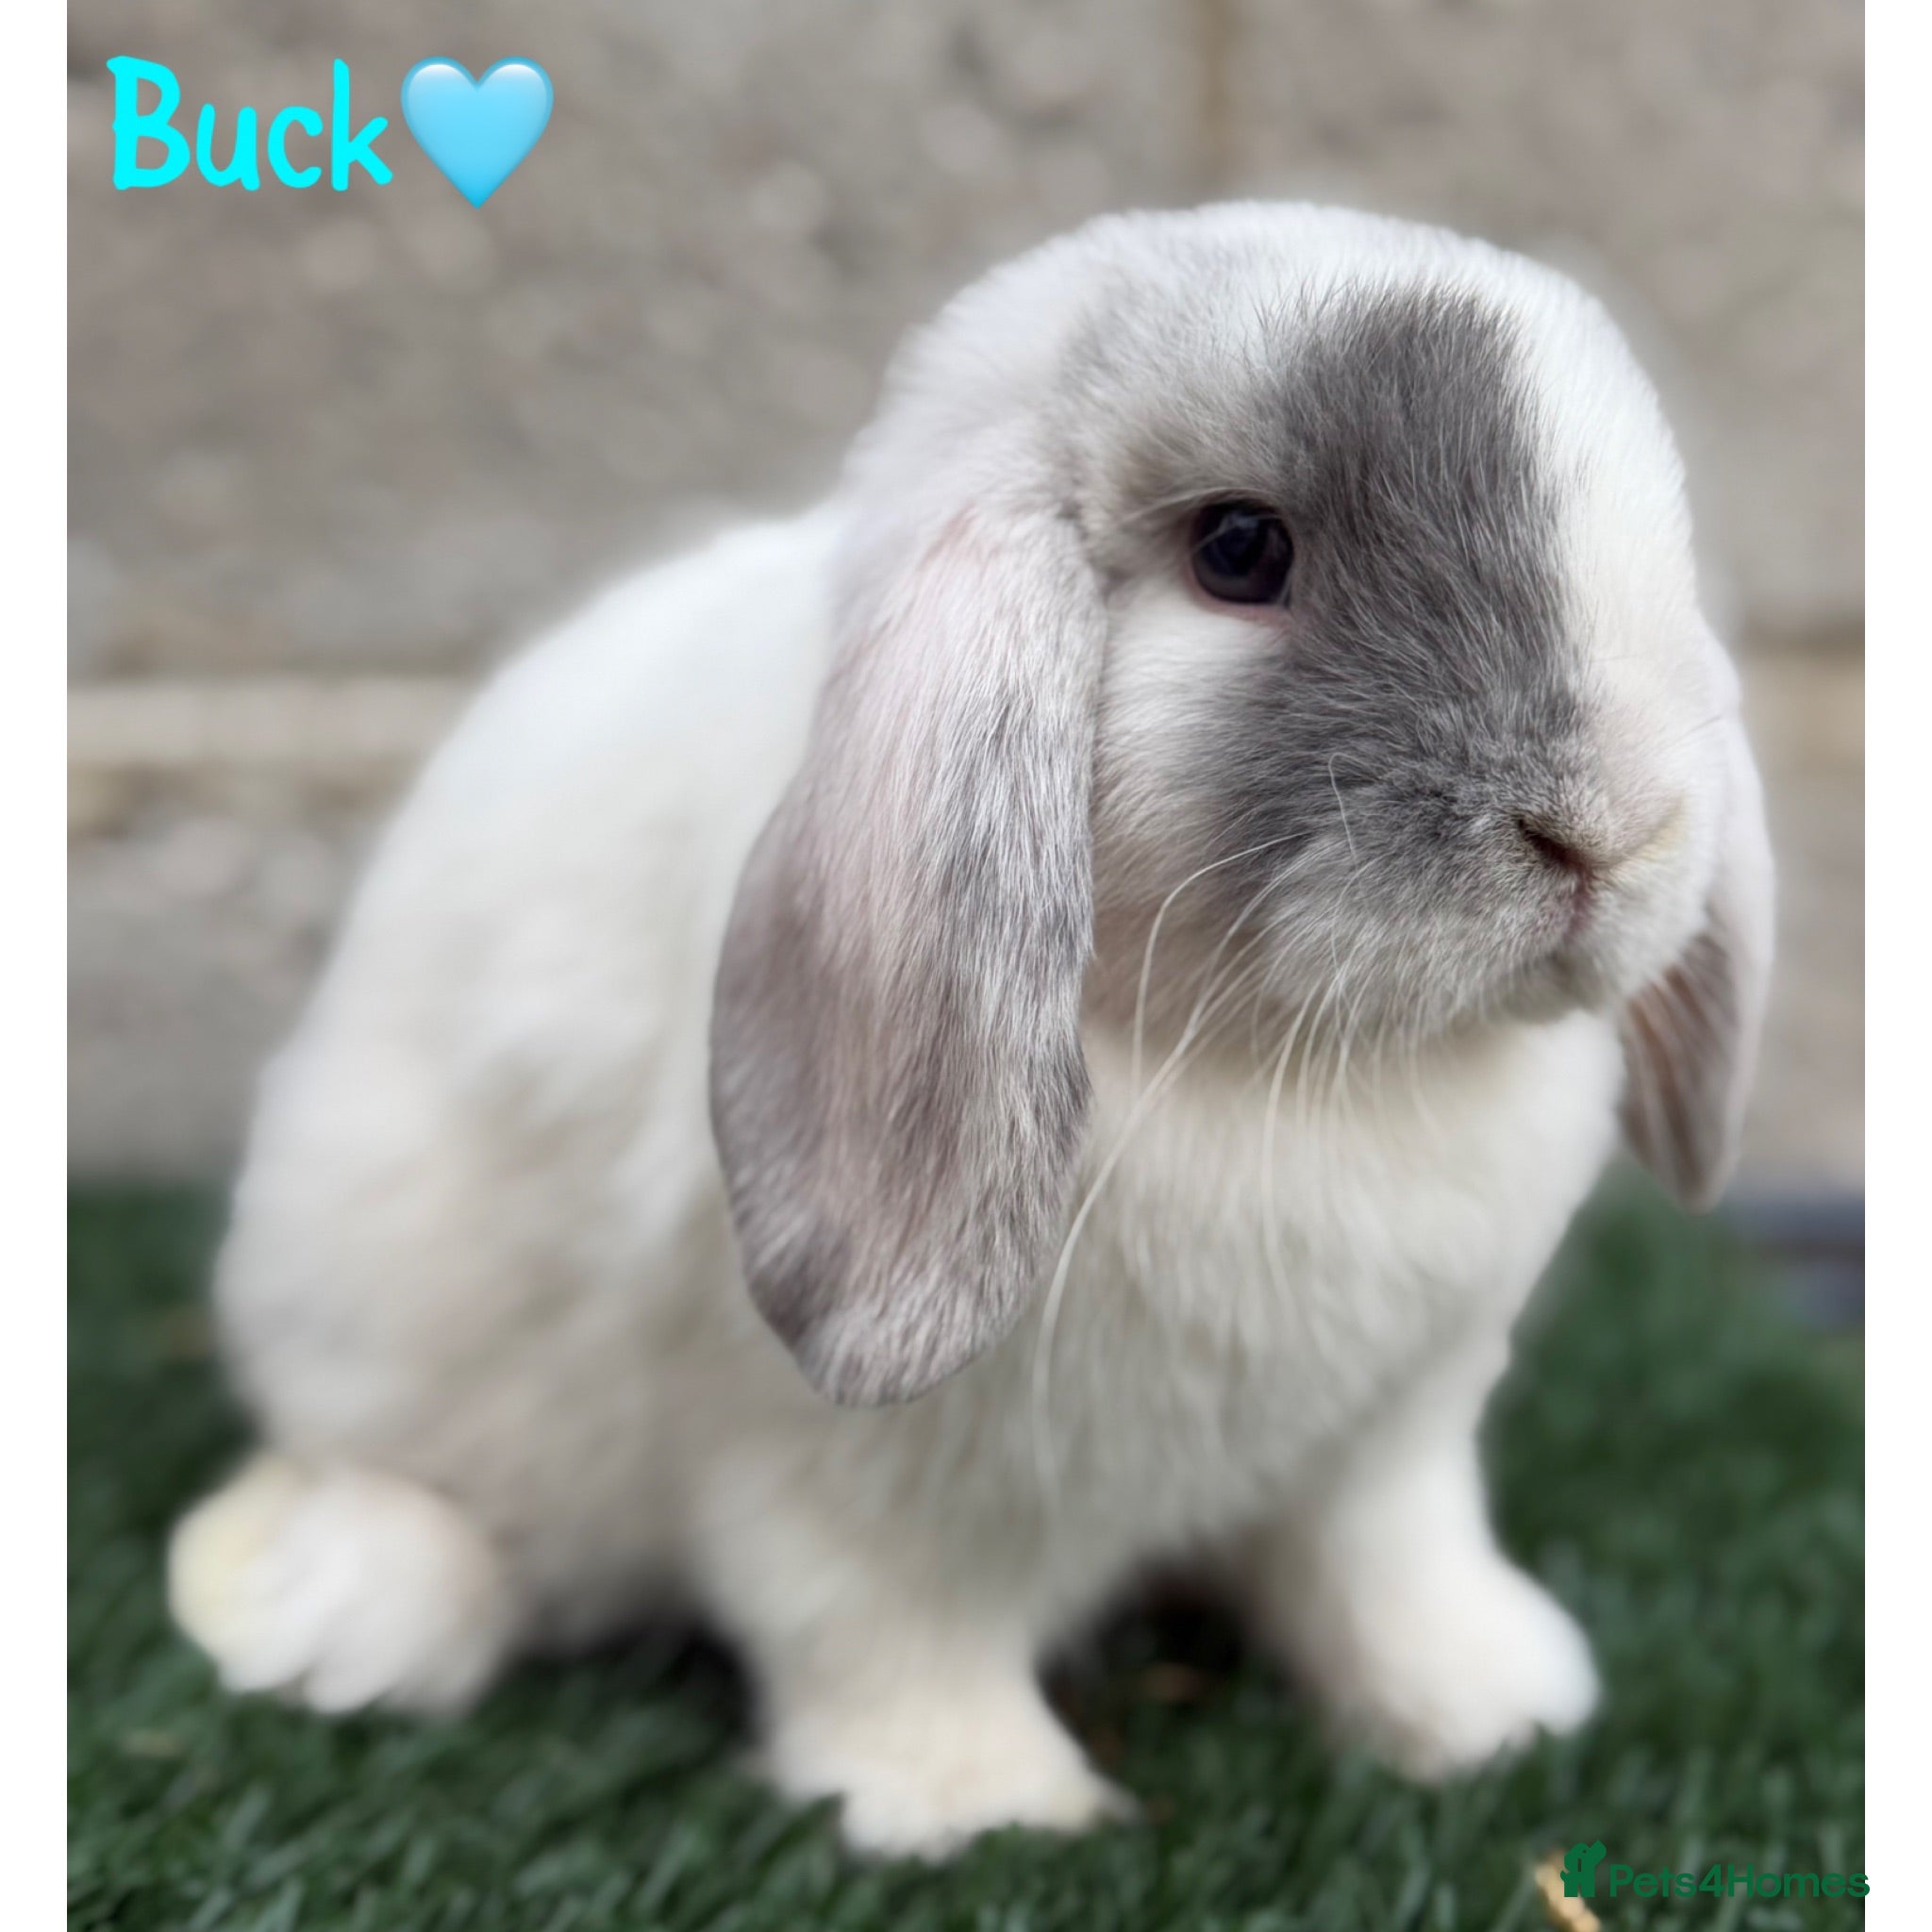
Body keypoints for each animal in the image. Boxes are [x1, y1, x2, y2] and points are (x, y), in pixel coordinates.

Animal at [168, 202, 1772, 1859]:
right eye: (1240, 550)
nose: (1610, 830)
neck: (1288, 1070)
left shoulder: (1384, 1452)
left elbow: (1383, 1583)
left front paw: (1499, 1713)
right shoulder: (850, 1488)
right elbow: (882, 1630)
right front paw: (980, 1814)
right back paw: (325, 1617)